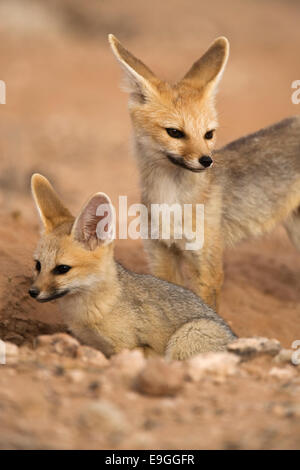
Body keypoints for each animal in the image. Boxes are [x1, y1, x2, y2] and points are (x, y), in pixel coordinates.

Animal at [109, 35, 300, 310]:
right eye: (174, 132)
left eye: (209, 134)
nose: (207, 160)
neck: (170, 199)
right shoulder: (160, 255)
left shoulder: (207, 267)